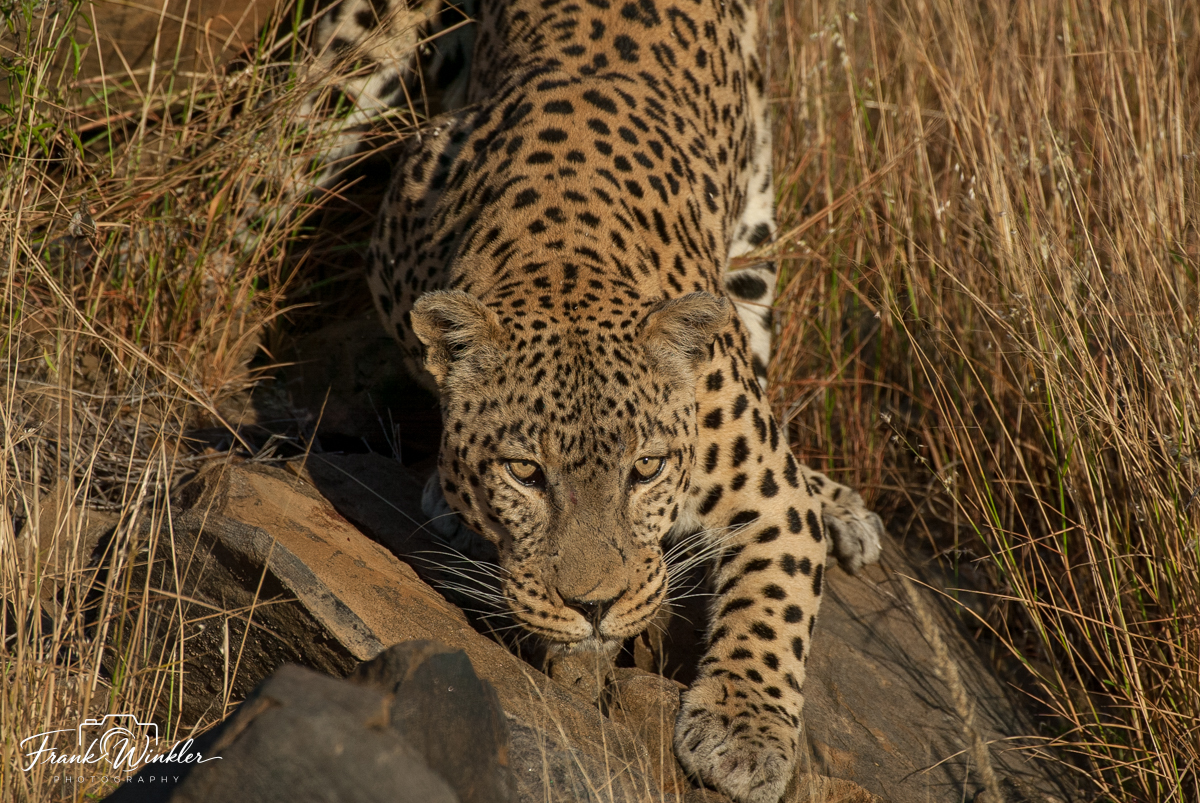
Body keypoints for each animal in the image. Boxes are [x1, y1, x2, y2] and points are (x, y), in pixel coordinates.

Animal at [277, 0, 886, 799]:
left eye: (647, 470)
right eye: (525, 473)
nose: (594, 608)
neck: (565, 253)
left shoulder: (769, 491)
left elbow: (774, 600)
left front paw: (743, 732)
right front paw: (453, 496)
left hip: (756, 232)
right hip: (352, 52)